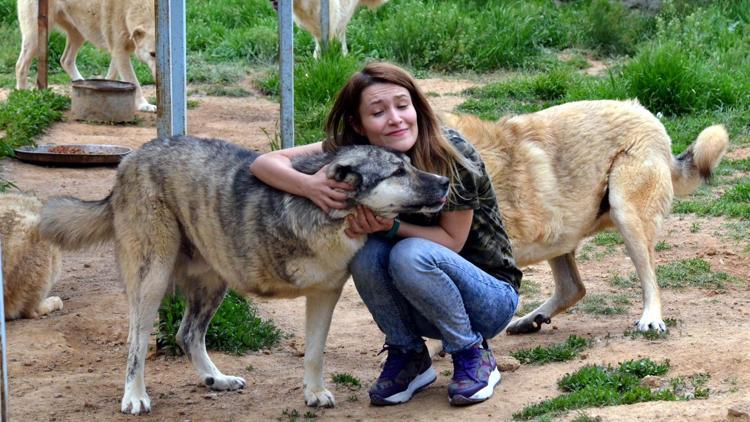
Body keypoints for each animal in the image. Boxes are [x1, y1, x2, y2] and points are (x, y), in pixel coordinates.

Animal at [15, 0, 159, 112]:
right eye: (152, 54)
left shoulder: (118, 51)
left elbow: (112, 75)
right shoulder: (119, 49)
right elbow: (133, 80)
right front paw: (144, 105)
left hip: (79, 32)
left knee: (65, 60)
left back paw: (81, 82)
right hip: (35, 36)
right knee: (20, 65)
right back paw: (22, 94)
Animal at [41, 137, 450, 414]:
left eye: (410, 164)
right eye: (398, 172)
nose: (445, 182)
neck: (329, 215)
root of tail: (131, 159)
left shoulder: (326, 293)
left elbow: (315, 352)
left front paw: (314, 393)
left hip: (213, 284)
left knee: (187, 334)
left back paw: (215, 379)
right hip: (151, 279)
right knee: (136, 343)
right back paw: (135, 397)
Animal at [440, 100, 728, 334]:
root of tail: (644, 112)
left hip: (626, 216)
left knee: (649, 280)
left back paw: (651, 319)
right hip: (559, 233)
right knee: (573, 288)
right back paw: (530, 320)